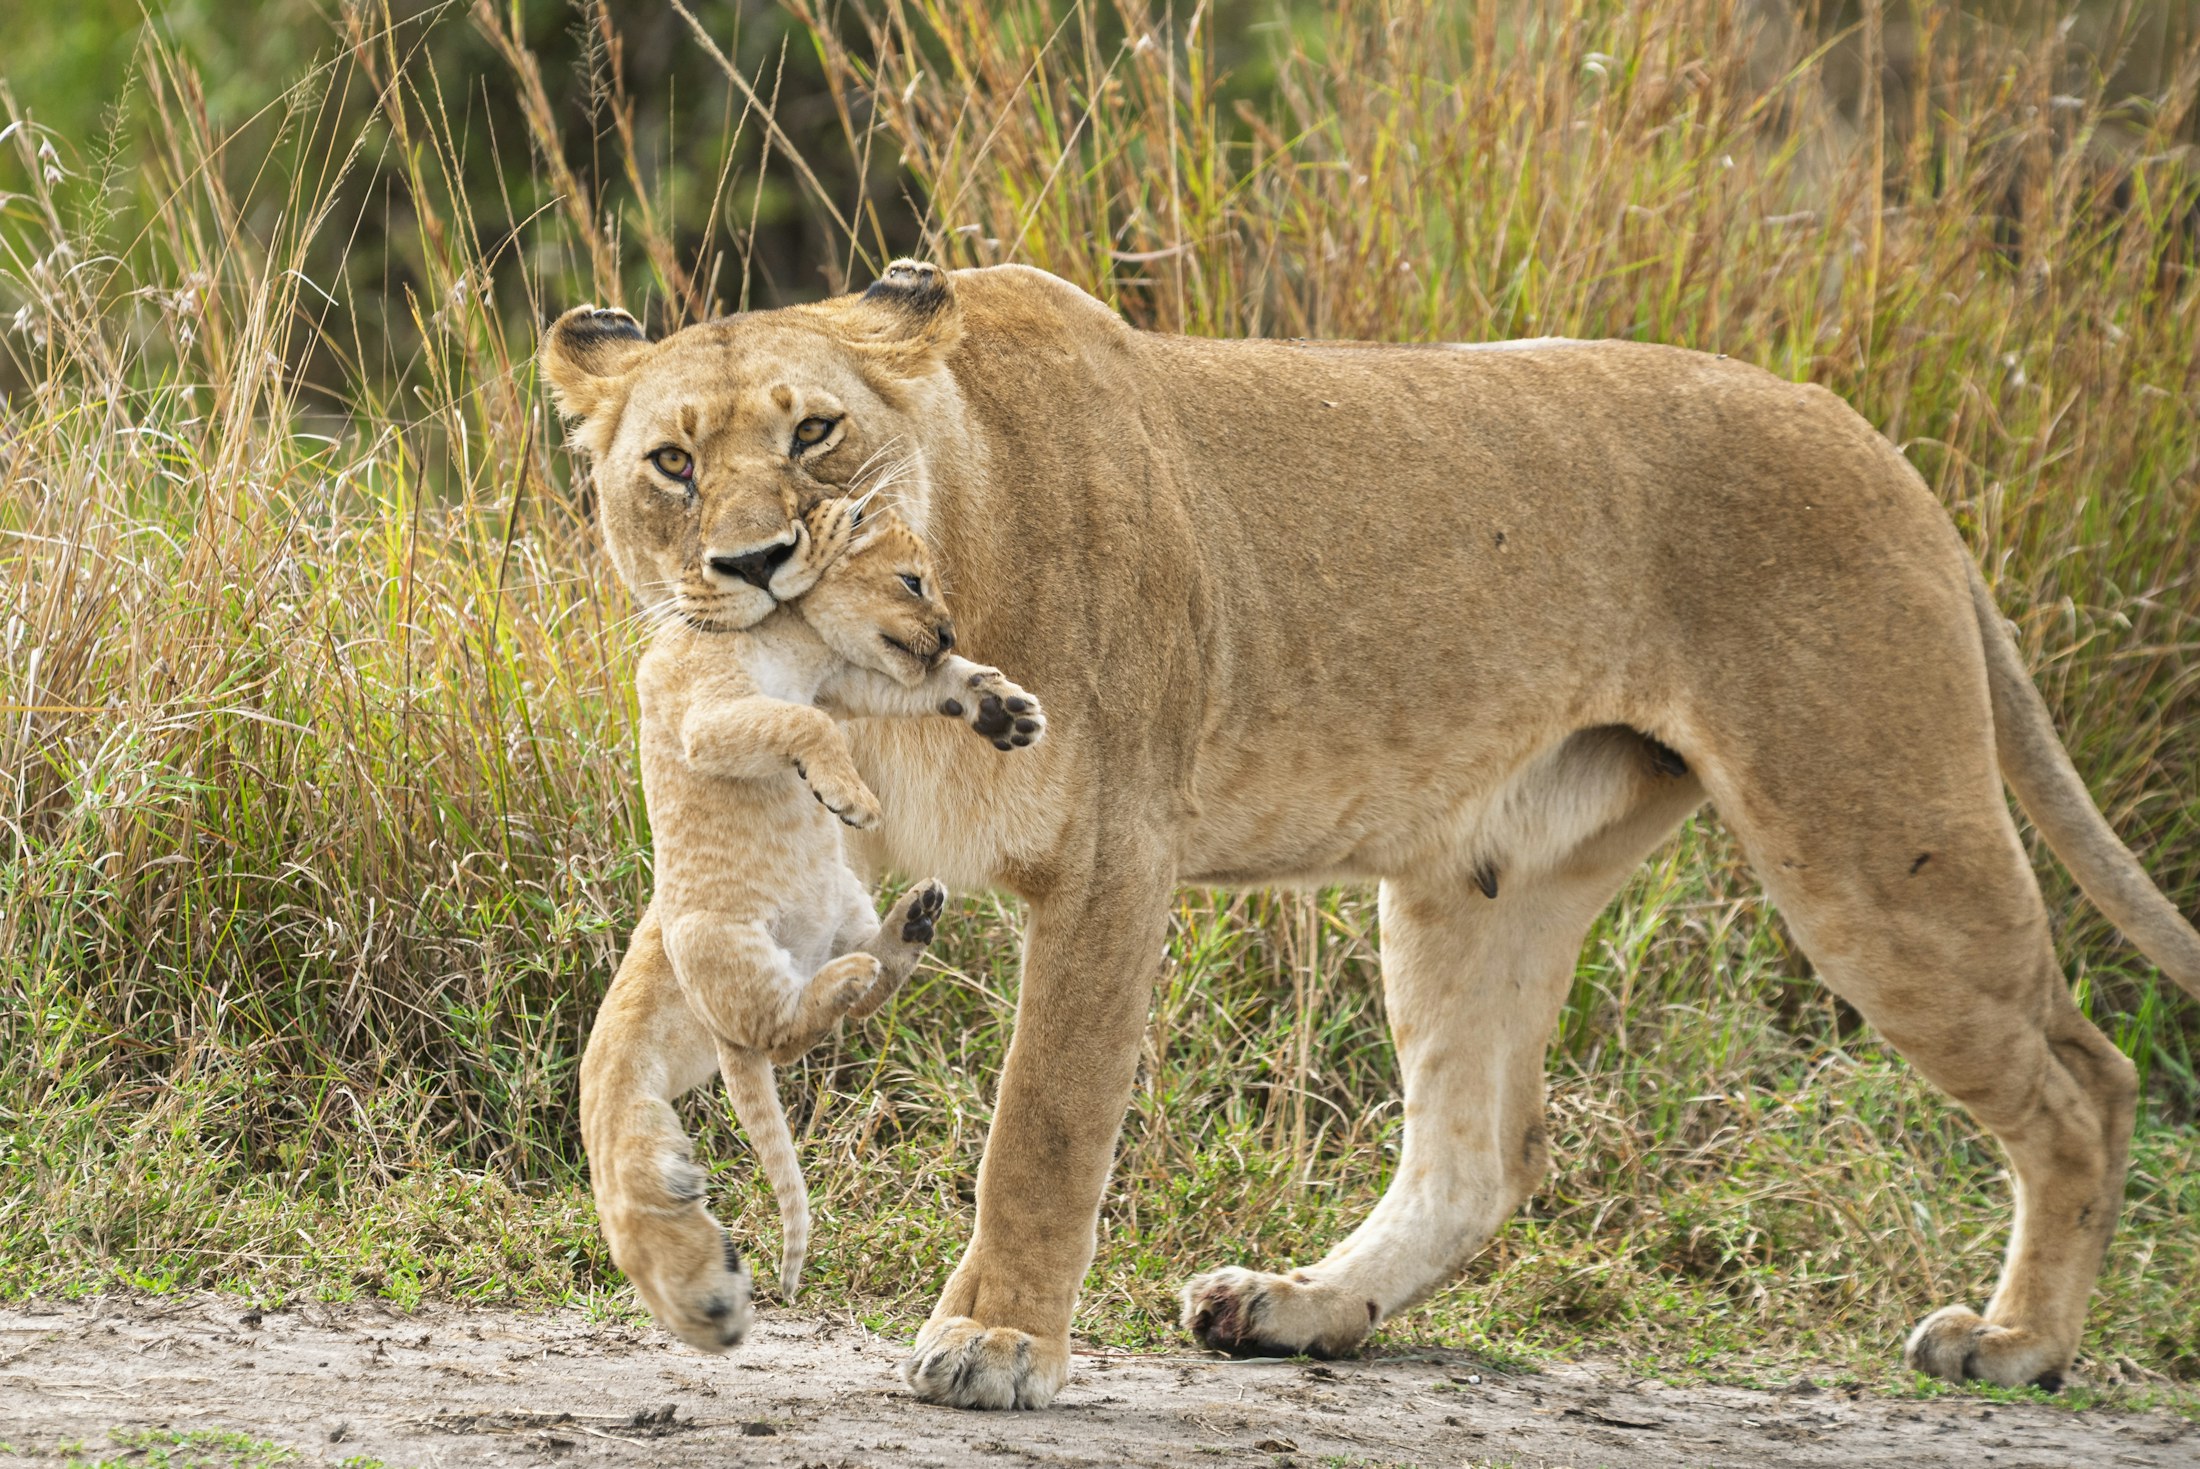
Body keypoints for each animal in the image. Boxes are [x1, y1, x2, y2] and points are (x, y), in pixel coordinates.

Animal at [556, 260, 2200, 1410]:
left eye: (816, 432)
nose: (750, 564)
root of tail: (1877, 444)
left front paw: (996, 1340)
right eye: (672, 462)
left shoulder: (1114, 859)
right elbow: (615, 1047)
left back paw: (2017, 1344)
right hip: (1486, 876)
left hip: (1870, 835)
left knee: (2087, 1077)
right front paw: (685, 1272)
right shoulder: (788, 862)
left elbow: (1045, 1119)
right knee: (1481, 1150)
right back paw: (1296, 1305)